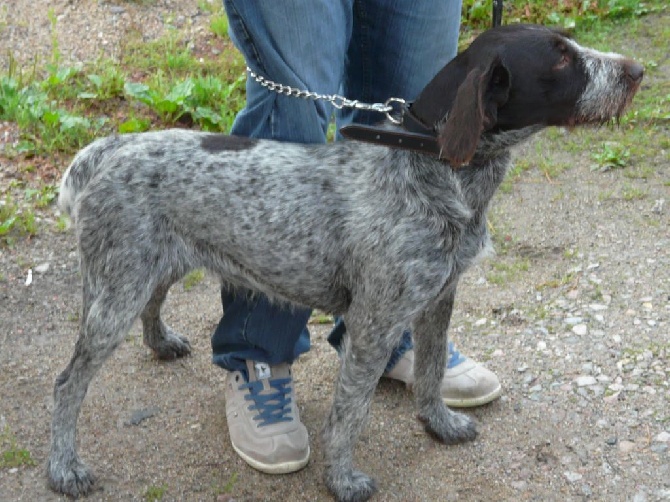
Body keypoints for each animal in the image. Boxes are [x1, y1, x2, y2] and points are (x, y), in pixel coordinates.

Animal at [50, 23, 644, 502]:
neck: (431, 170)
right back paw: (64, 468)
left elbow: (430, 371)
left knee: (152, 303)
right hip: (116, 293)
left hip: (152, 266)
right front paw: (342, 479)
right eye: (561, 58)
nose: (638, 71)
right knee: (67, 384)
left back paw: (160, 341)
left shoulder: (438, 299)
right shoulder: (374, 321)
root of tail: (109, 148)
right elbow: (350, 412)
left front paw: (439, 424)